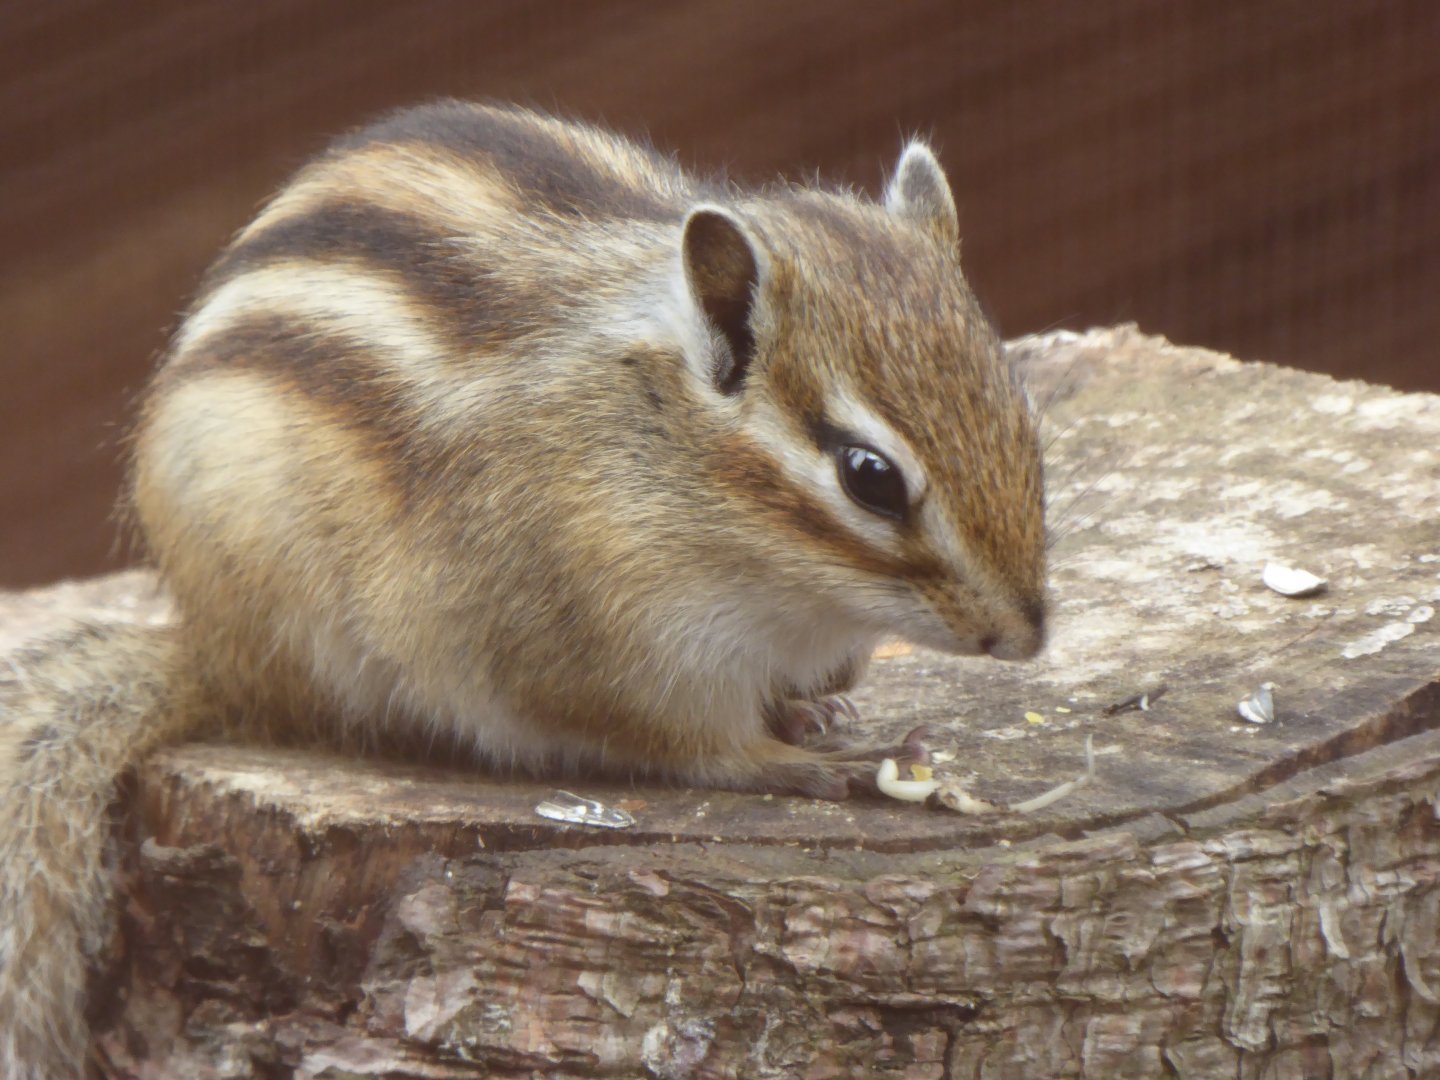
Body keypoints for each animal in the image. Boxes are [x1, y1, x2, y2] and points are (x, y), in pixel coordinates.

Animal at [0, 101, 1046, 1076]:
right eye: (870, 476)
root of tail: (208, 647)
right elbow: (698, 749)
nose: (1029, 637)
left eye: (1019, 405)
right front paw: (808, 765)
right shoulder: (602, 653)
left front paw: (819, 716)